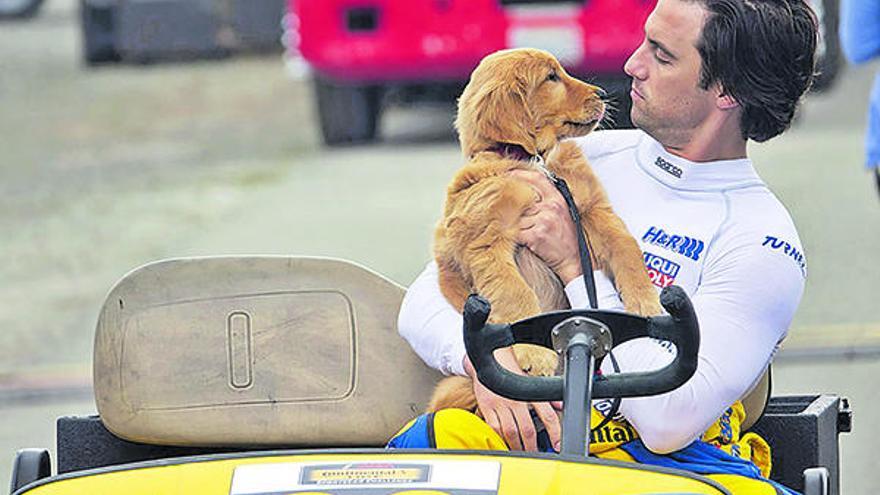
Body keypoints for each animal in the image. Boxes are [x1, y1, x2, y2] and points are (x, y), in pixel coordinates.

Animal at [426, 49, 660, 414]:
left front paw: (646, 303)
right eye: (551, 78)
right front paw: (536, 354)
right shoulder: (486, 243)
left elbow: (626, 247)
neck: (533, 161)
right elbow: (516, 294)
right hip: (452, 389)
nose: (603, 95)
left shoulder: (591, 209)